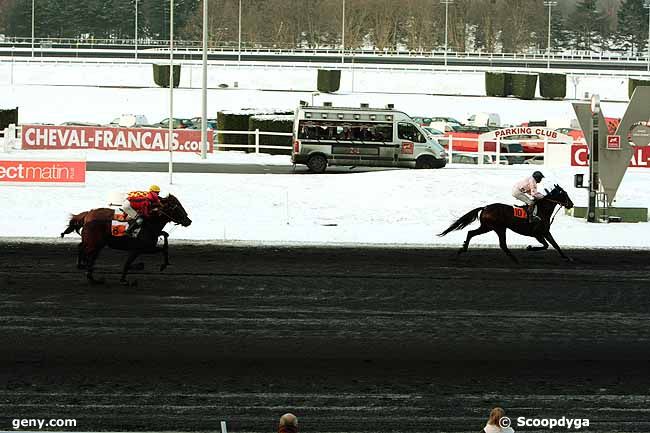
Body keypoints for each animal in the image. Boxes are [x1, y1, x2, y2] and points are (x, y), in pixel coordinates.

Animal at [59, 195, 192, 284]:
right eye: (176, 207)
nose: (188, 221)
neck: (150, 222)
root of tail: (88, 214)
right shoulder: (140, 248)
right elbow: (128, 263)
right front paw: (126, 278)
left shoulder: (143, 248)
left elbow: (164, 243)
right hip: (95, 243)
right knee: (86, 253)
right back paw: (87, 270)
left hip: (96, 243)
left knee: (84, 250)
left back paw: (87, 271)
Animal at [436, 184, 572, 262]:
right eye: (565, 194)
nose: (571, 204)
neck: (542, 211)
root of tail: (485, 207)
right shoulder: (537, 234)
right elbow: (546, 245)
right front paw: (529, 248)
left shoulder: (545, 232)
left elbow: (555, 245)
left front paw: (567, 257)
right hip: (499, 228)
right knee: (502, 244)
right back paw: (515, 259)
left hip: (487, 227)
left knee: (471, 233)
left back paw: (462, 249)